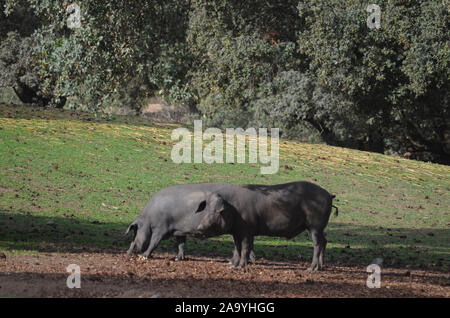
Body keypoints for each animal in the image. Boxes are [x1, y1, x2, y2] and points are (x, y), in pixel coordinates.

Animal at [125, 183, 255, 262]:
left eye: (136, 231)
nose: (128, 251)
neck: (149, 219)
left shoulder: (161, 228)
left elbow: (154, 242)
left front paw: (144, 256)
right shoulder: (179, 231)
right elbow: (181, 244)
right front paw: (178, 259)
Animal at [194, 183, 338, 270]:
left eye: (216, 211)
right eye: (206, 208)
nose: (199, 228)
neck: (233, 209)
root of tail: (329, 195)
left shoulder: (248, 230)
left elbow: (245, 247)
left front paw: (241, 267)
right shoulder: (236, 232)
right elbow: (237, 247)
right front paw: (233, 265)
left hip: (315, 226)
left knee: (318, 243)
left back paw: (311, 269)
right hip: (320, 228)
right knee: (325, 241)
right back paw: (320, 267)